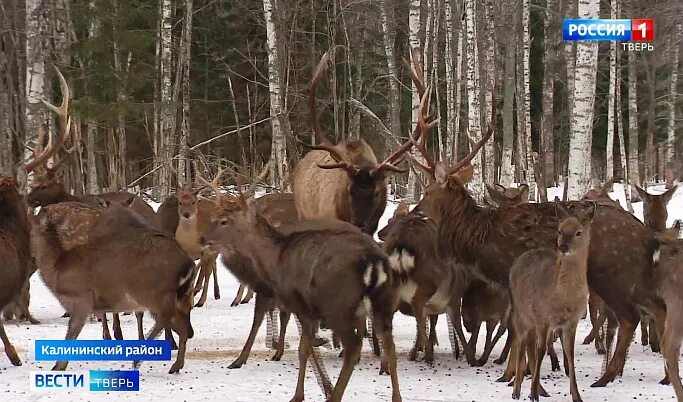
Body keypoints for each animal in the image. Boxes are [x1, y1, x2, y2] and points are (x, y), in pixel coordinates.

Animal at [29, 201, 195, 374]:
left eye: (31, 231)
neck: (58, 268)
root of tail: (188, 264)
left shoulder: (83, 297)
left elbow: (72, 331)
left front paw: (58, 366)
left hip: (152, 292)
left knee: (166, 319)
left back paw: (138, 360)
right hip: (174, 295)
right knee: (181, 324)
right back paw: (176, 365)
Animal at [200, 189, 404, 402]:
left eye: (224, 221)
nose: (203, 239)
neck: (275, 259)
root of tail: (374, 262)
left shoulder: (301, 304)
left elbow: (303, 349)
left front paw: (299, 395)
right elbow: (305, 345)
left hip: (339, 305)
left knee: (354, 346)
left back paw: (335, 396)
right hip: (384, 303)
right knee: (390, 346)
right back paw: (396, 397)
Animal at [412, 98, 668, 390]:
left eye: (427, 191)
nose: (415, 210)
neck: (478, 238)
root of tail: (644, 233)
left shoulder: (510, 272)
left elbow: (515, 326)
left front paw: (511, 374)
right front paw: (515, 372)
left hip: (613, 271)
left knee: (631, 316)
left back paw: (607, 376)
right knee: (652, 309)